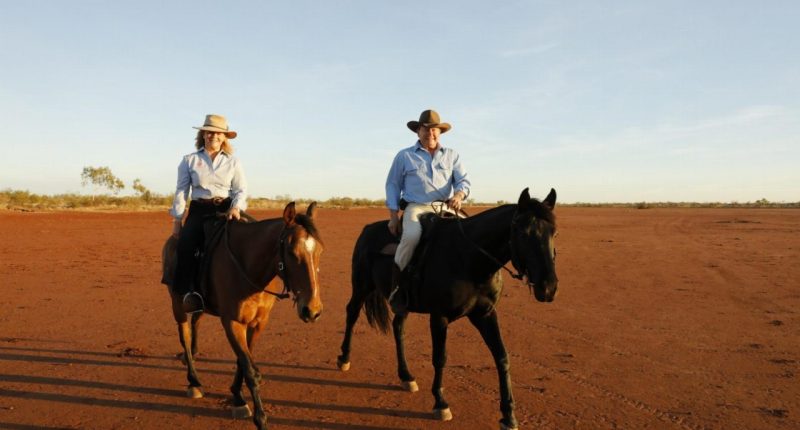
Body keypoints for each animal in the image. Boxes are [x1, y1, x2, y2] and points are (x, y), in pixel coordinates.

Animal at [161, 202, 324, 430]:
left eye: (320, 250)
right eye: (292, 252)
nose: (312, 310)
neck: (249, 268)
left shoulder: (258, 323)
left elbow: (242, 361)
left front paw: (237, 397)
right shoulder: (232, 322)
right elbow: (250, 370)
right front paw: (259, 418)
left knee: (195, 323)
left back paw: (191, 355)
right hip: (177, 303)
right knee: (184, 335)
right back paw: (193, 381)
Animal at [336, 188, 556, 430]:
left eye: (553, 232)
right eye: (523, 233)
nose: (548, 287)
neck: (469, 259)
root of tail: (367, 229)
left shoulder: (485, 314)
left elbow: (502, 357)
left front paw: (508, 415)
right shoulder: (439, 316)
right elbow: (440, 357)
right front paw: (440, 403)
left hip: (401, 304)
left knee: (398, 328)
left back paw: (406, 376)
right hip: (361, 286)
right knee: (351, 313)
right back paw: (344, 359)